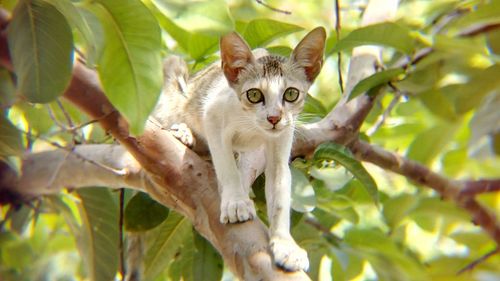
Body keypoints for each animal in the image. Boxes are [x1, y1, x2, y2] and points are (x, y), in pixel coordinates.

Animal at [154, 27, 328, 270]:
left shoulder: (282, 139)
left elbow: (280, 190)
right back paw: (183, 131)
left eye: (291, 94)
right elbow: (227, 168)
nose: (274, 118)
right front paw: (236, 202)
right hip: (175, 81)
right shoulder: (213, 115)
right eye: (254, 95)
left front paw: (286, 244)